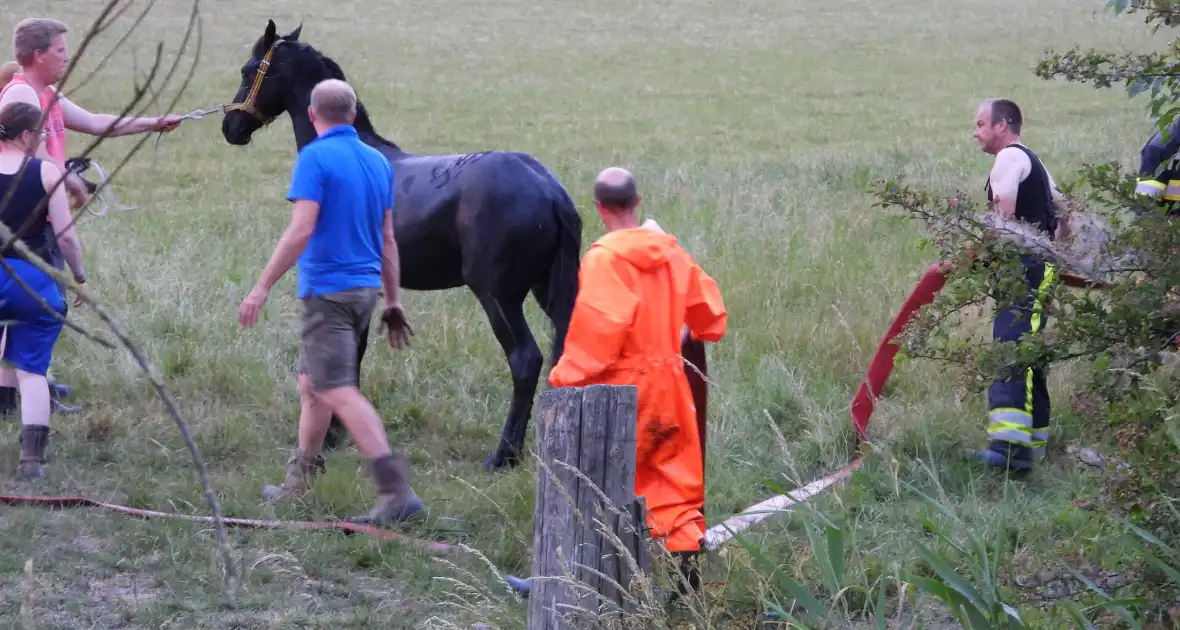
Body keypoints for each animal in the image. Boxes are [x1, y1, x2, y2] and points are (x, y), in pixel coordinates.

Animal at [219, 19, 582, 471]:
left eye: (249, 70)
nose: (231, 128)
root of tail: (550, 190)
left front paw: (332, 432)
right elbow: (354, 351)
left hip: (497, 294)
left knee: (525, 359)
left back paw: (503, 455)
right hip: (546, 289)